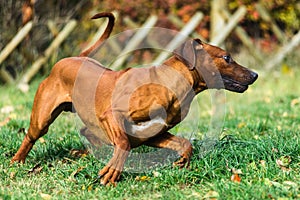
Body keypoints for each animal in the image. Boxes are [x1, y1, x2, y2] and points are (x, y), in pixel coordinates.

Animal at [11, 12, 258, 184]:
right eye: (227, 58)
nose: (255, 74)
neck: (171, 83)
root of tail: (74, 58)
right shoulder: (112, 115)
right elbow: (122, 143)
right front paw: (113, 171)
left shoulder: (152, 133)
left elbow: (184, 143)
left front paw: (183, 161)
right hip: (42, 118)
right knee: (31, 137)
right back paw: (17, 161)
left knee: (87, 133)